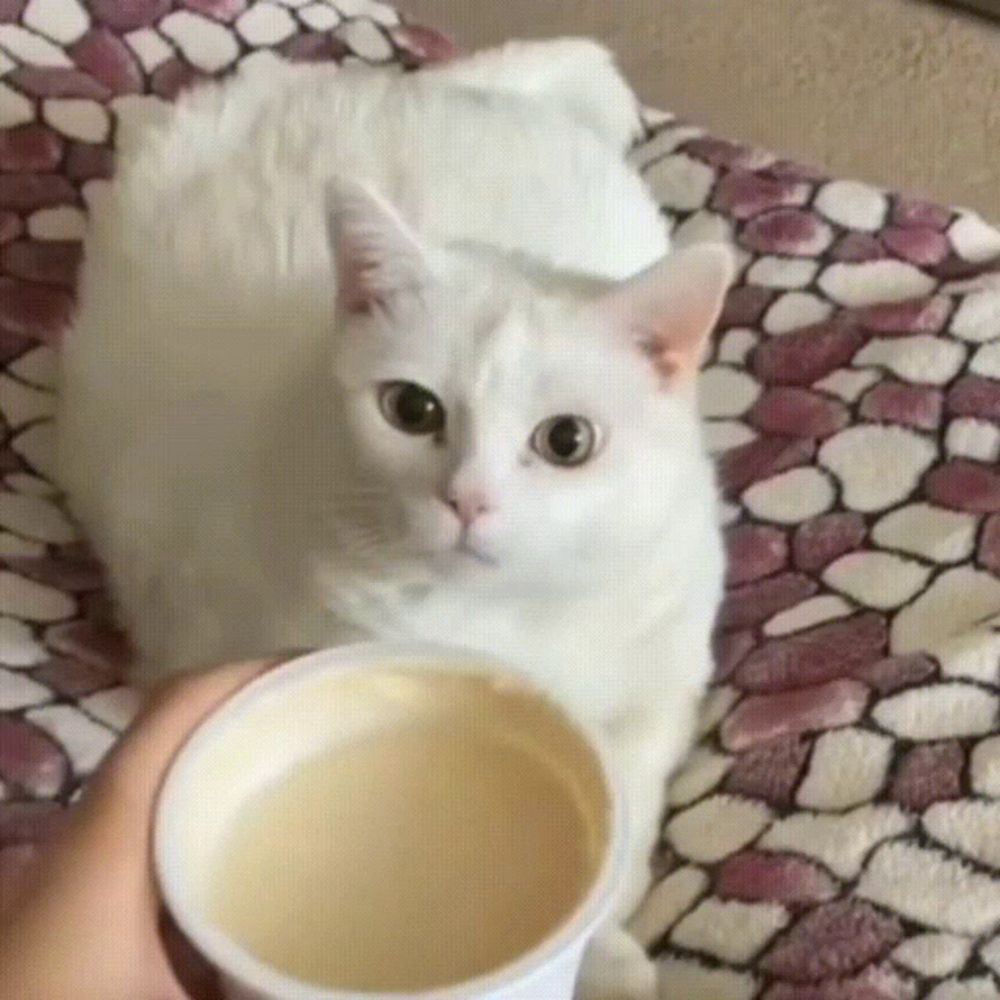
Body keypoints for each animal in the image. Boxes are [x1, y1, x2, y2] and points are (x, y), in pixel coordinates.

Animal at [58, 39, 732, 1000]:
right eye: (411, 409)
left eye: (568, 440)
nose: (468, 498)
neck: (507, 622)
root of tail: (396, 84)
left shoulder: (660, 683)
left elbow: (628, 815)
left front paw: (604, 952)